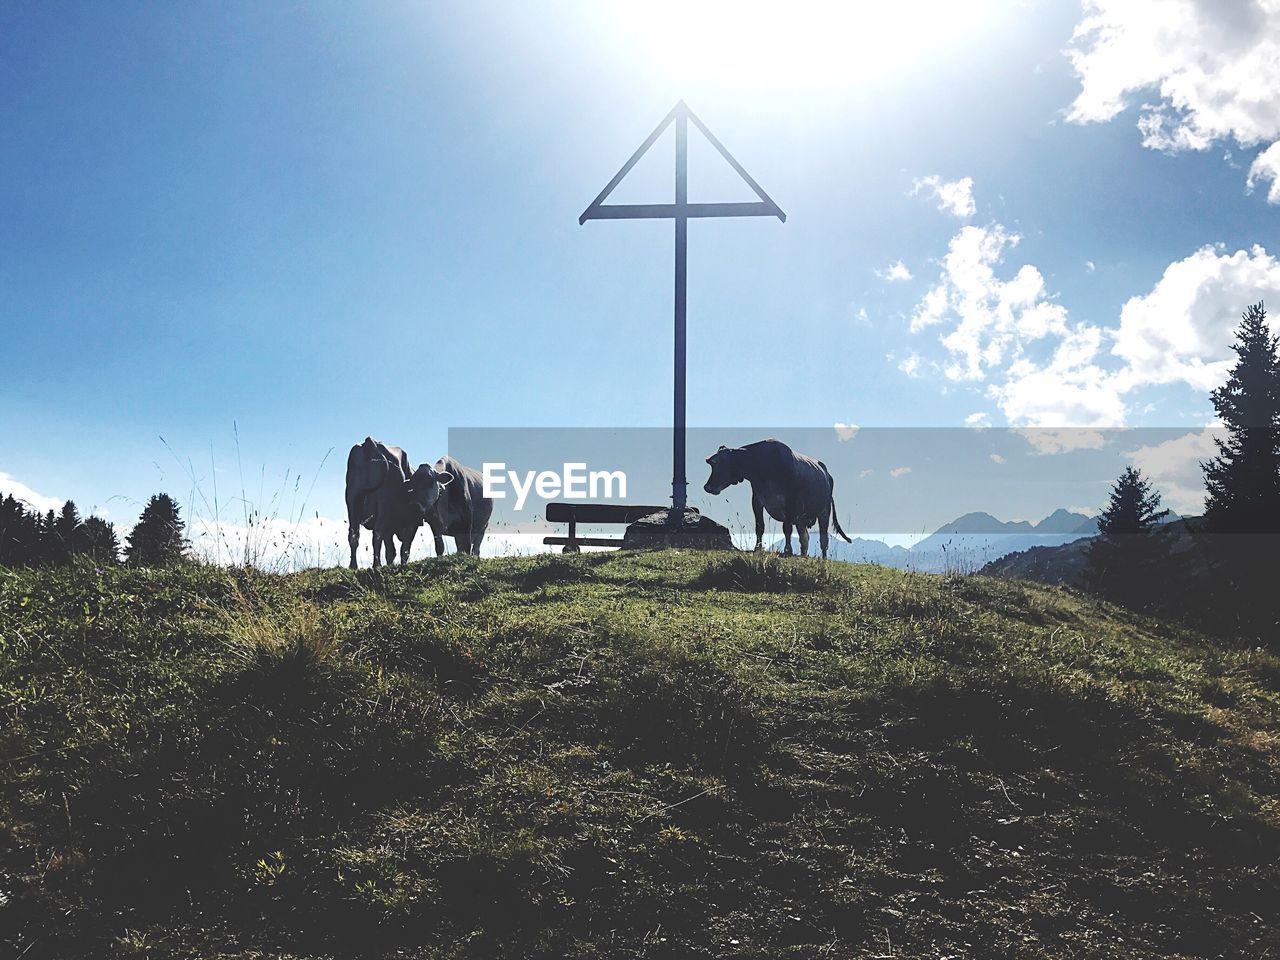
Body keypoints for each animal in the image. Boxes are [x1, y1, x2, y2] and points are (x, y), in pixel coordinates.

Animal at [345, 437, 450, 568]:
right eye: (413, 484)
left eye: (430, 481)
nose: (415, 506)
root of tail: (370, 441)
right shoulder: (413, 521)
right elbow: (405, 549)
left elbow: (391, 551)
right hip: (384, 504)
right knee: (377, 533)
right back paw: (376, 565)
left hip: (352, 499)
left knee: (354, 535)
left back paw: (353, 566)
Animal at [706, 440, 855, 560]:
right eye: (711, 464)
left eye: (719, 463)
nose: (707, 487)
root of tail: (827, 475)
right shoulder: (757, 500)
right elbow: (760, 527)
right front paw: (757, 548)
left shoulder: (790, 502)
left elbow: (786, 528)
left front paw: (787, 550)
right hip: (801, 518)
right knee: (804, 538)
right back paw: (803, 555)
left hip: (824, 511)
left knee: (823, 538)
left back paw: (823, 558)